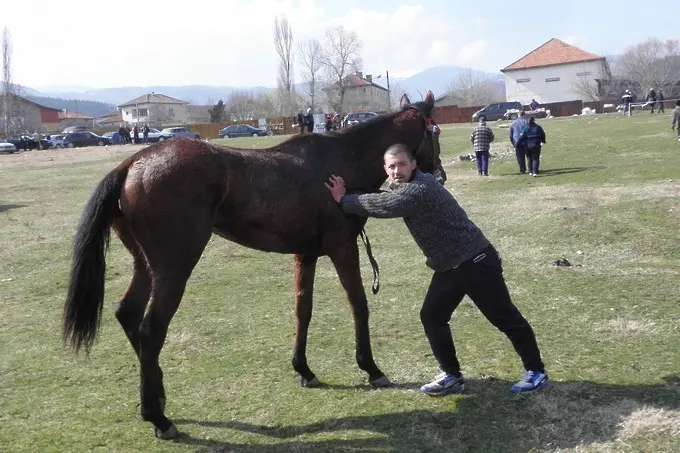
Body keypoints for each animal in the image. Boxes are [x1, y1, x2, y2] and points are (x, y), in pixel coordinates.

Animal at [61, 91, 444, 438]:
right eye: (435, 132)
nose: (439, 174)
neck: (342, 160)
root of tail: (133, 163)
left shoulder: (305, 255)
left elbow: (303, 310)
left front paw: (304, 369)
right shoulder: (342, 248)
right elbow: (358, 304)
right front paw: (370, 367)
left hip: (146, 265)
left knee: (127, 312)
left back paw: (157, 397)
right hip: (173, 268)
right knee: (150, 329)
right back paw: (158, 417)